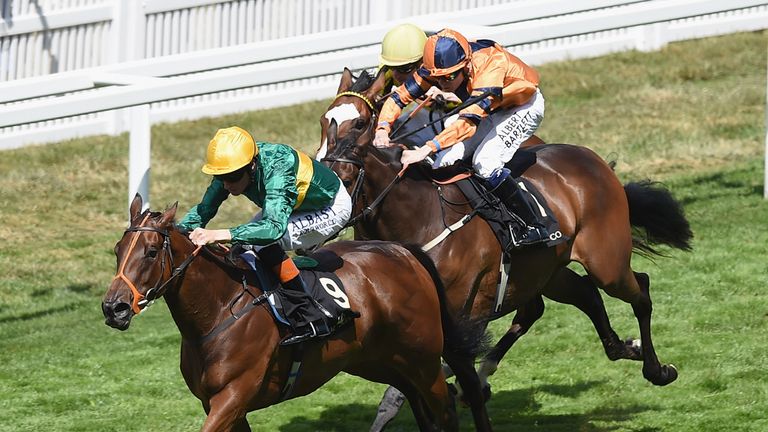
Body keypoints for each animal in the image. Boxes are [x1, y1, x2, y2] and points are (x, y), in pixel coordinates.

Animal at [102, 196, 488, 432]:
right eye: (118, 250)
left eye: (151, 252)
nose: (113, 307)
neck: (220, 310)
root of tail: (403, 251)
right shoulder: (220, 405)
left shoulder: (233, 396)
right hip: (380, 360)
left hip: (422, 357)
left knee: (446, 407)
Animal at [316, 69, 692, 400]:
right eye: (324, 121)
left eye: (360, 122)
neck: (419, 215)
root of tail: (592, 158)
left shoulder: (467, 308)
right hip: (547, 270)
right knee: (579, 295)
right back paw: (624, 348)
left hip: (605, 263)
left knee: (639, 289)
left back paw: (657, 369)